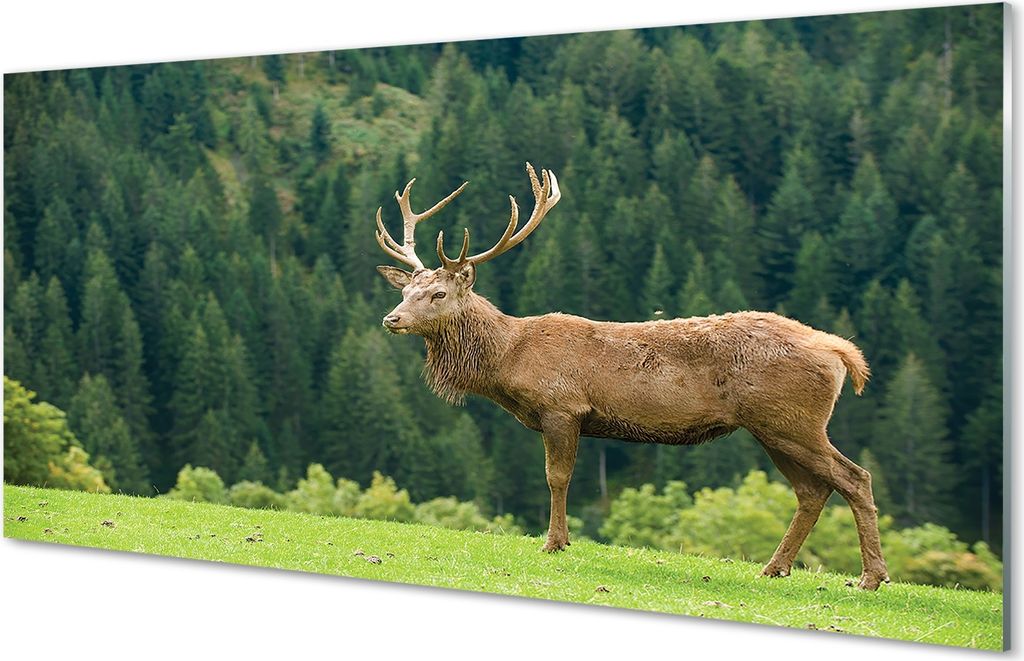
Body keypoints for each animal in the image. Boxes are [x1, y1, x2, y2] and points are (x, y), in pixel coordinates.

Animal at [373, 163, 890, 590]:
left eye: (438, 294)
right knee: (812, 490)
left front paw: (554, 542)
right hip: (773, 427)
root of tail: (841, 354)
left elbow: (557, 477)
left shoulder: (563, 408)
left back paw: (870, 577)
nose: (391, 319)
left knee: (854, 476)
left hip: (792, 420)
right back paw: (775, 567)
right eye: (407, 291)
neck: (510, 359)